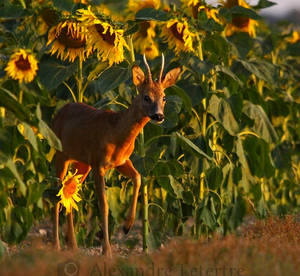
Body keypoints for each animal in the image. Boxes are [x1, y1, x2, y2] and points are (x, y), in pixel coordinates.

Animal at [51, 54, 180, 256]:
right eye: (146, 97)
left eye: (164, 97)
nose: (159, 116)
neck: (116, 132)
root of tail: (58, 113)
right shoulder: (99, 163)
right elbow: (104, 205)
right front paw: (107, 251)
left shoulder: (120, 161)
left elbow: (138, 178)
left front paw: (127, 226)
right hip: (61, 154)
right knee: (57, 194)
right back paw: (57, 245)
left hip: (82, 163)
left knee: (70, 191)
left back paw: (73, 245)